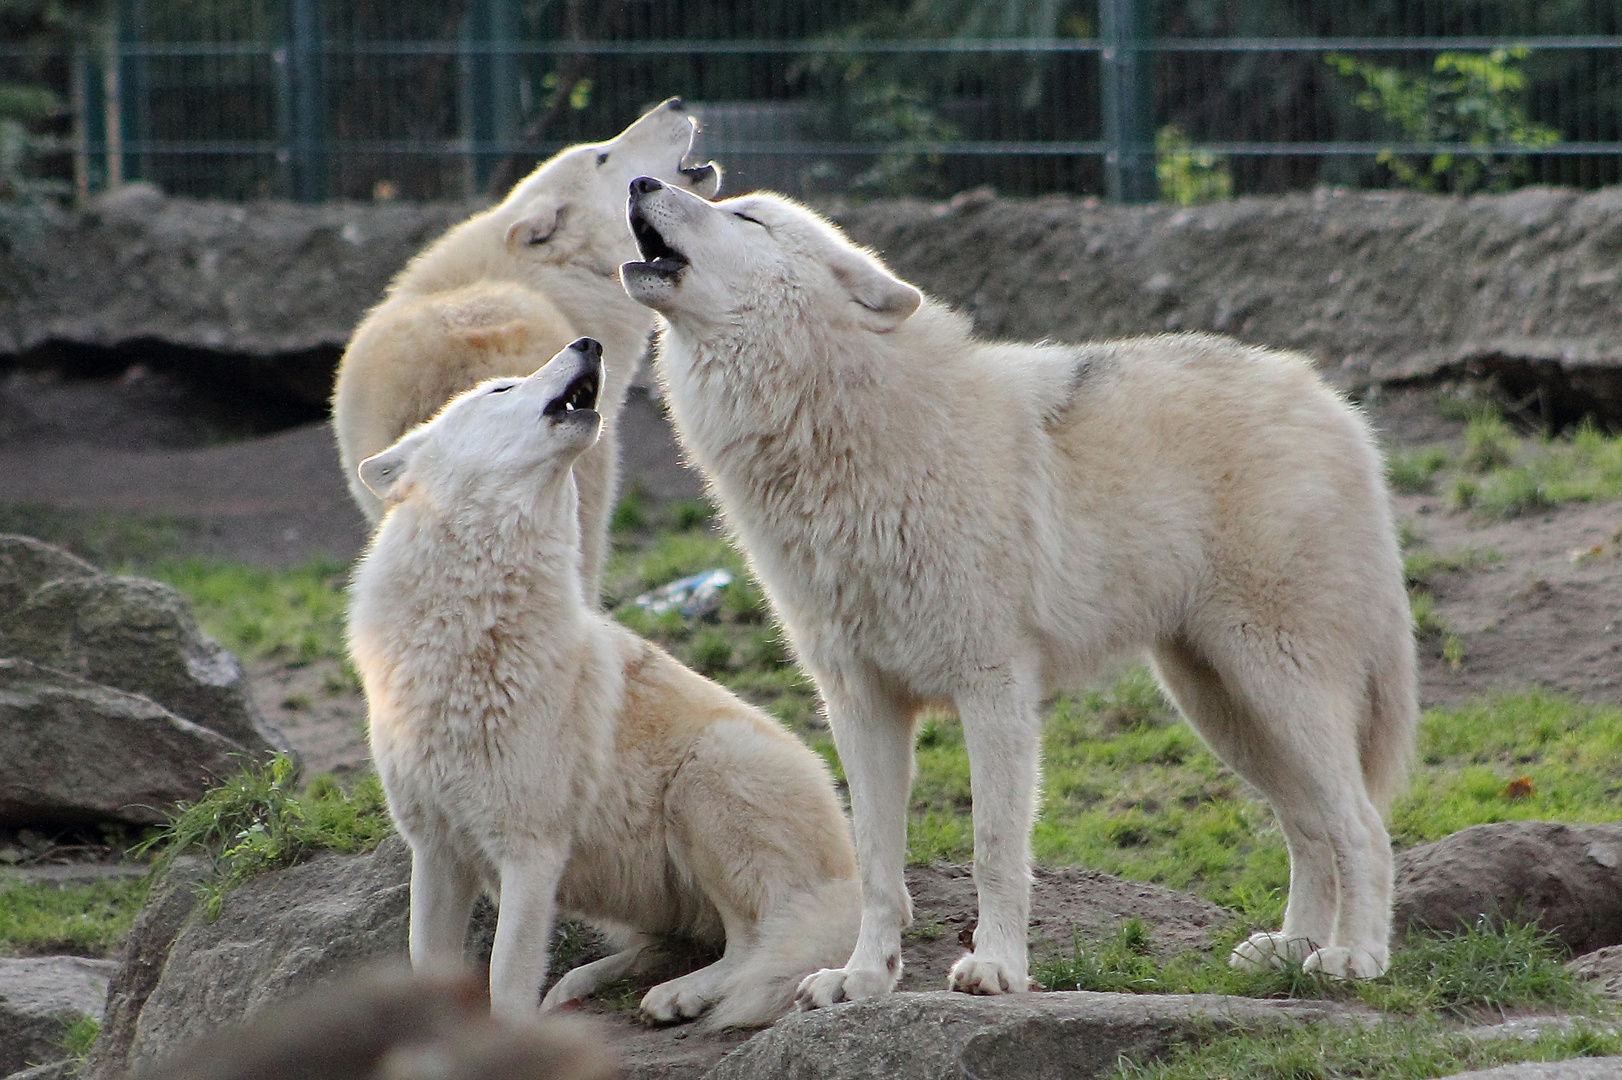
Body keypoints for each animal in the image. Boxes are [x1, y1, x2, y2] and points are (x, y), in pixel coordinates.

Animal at [347, 338, 862, 1024]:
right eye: (500, 390)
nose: (587, 344)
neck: (471, 625)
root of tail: (851, 875)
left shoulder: (530, 855)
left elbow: (504, 982)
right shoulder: (436, 855)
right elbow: (428, 971)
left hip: (704, 781)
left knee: (755, 942)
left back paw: (679, 996)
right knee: (674, 944)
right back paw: (580, 984)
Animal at [619, 174, 1420, 998]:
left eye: (747, 217)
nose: (642, 180)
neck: (845, 431)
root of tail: (1333, 403)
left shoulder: (993, 688)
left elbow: (993, 846)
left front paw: (997, 966)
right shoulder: (860, 705)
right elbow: (875, 864)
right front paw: (864, 977)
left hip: (1275, 684)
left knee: (1363, 826)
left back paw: (1354, 958)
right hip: (1221, 706)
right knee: (1310, 826)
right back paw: (1292, 949)